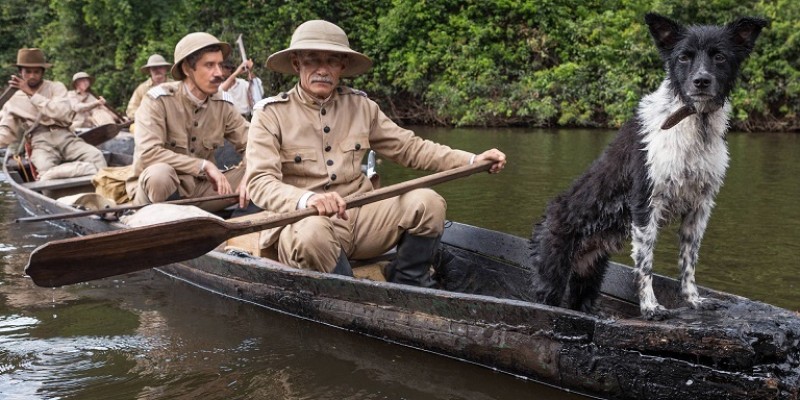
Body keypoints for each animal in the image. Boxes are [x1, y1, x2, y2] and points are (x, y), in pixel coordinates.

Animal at [528, 13, 764, 318]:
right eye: (684, 57)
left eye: (720, 56)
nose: (701, 81)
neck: (692, 121)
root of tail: (544, 219)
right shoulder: (645, 200)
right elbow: (645, 264)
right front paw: (651, 307)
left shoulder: (700, 206)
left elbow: (688, 260)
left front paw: (693, 300)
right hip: (553, 273)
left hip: (590, 275)